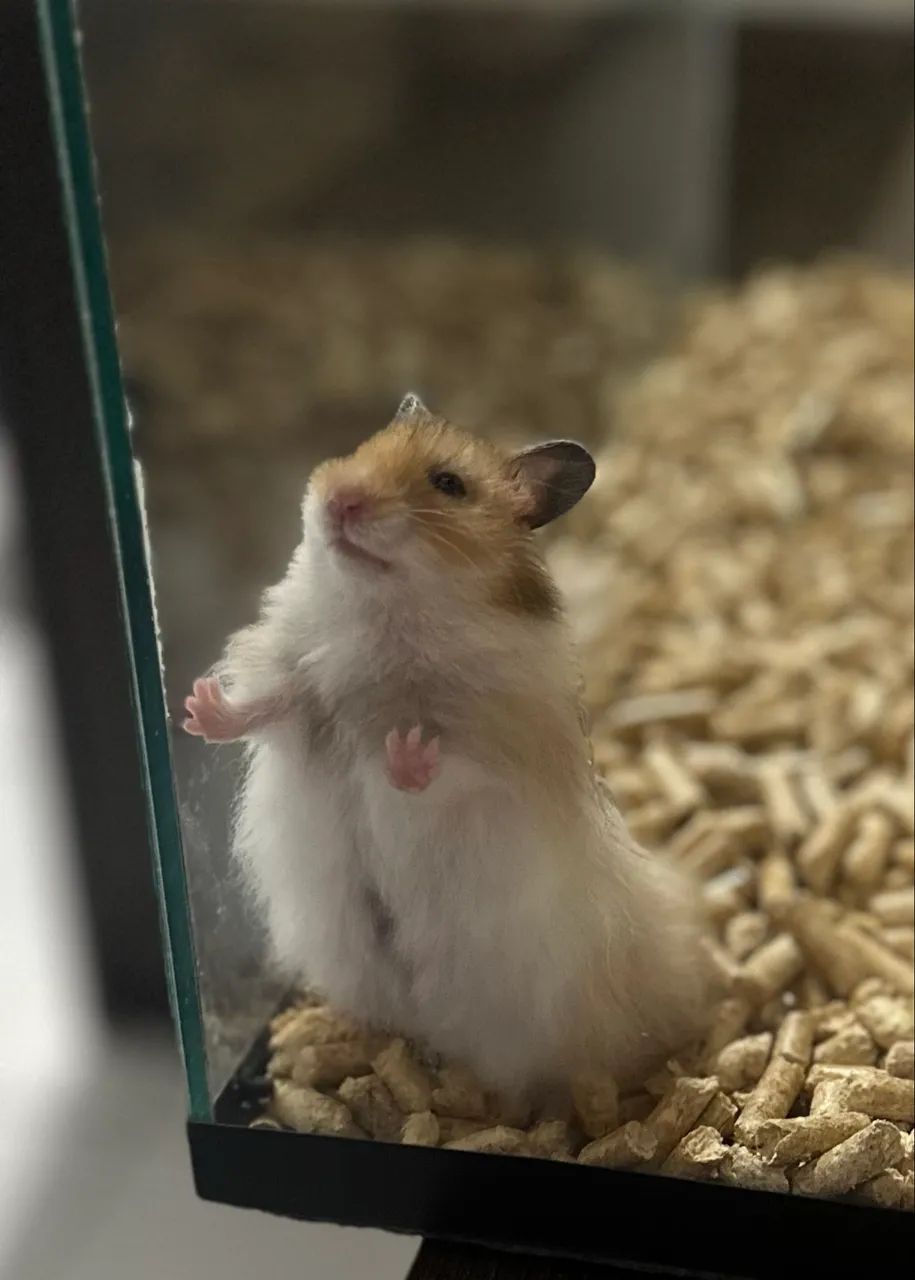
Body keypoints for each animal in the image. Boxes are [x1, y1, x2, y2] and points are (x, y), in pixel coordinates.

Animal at [183, 394, 709, 1094]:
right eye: (362, 446)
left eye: (449, 484)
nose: (339, 498)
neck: (383, 606)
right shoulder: (303, 690)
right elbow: (266, 706)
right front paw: (198, 706)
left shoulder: (489, 754)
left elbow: (444, 771)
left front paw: (402, 748)